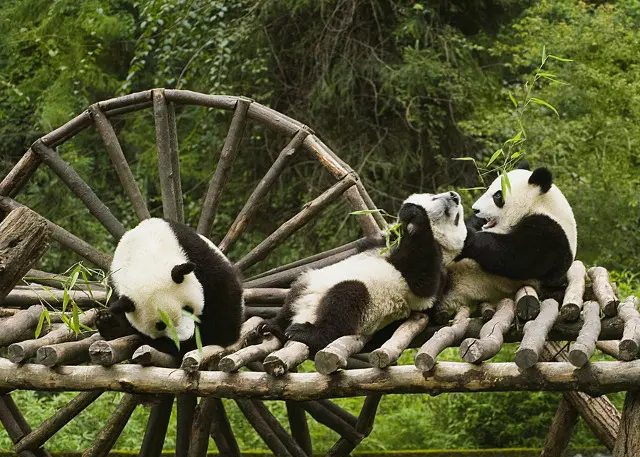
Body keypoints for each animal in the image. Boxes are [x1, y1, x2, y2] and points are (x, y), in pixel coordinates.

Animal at [96, 218, 244, 356]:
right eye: (160, 325)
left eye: (187, 309)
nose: (186, 337)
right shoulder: (115, 287)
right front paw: (107, 320)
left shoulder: (195, 254)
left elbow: (223, 297)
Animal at [259, 191, 466, 354]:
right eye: (434, 196)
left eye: (457, 219)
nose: (454, 196)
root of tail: (306, 314)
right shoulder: (376, 241)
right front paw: (408, 212)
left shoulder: (434, 266)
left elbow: (423, 285)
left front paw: (415, 214)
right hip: (310, 282)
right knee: (293, 297)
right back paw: (273, 326)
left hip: (367, 303)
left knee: (344, 303)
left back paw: (306, 332)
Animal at [437, 163, 577, 315]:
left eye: (497, 195)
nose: (475, 209)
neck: (538, 204)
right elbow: (474, 224)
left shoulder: (551, 234)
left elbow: (516, 257)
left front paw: (467, 239)